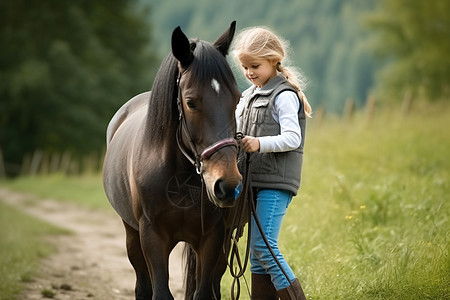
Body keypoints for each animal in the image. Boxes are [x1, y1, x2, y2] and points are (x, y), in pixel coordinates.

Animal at [103, 22, 243, 298]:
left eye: (237, 99)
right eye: (190, 102)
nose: (227, 184)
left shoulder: (213, 238)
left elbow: (203, 292)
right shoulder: (152, 237)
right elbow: (159, 291)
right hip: (131, 234)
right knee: (142, 286)